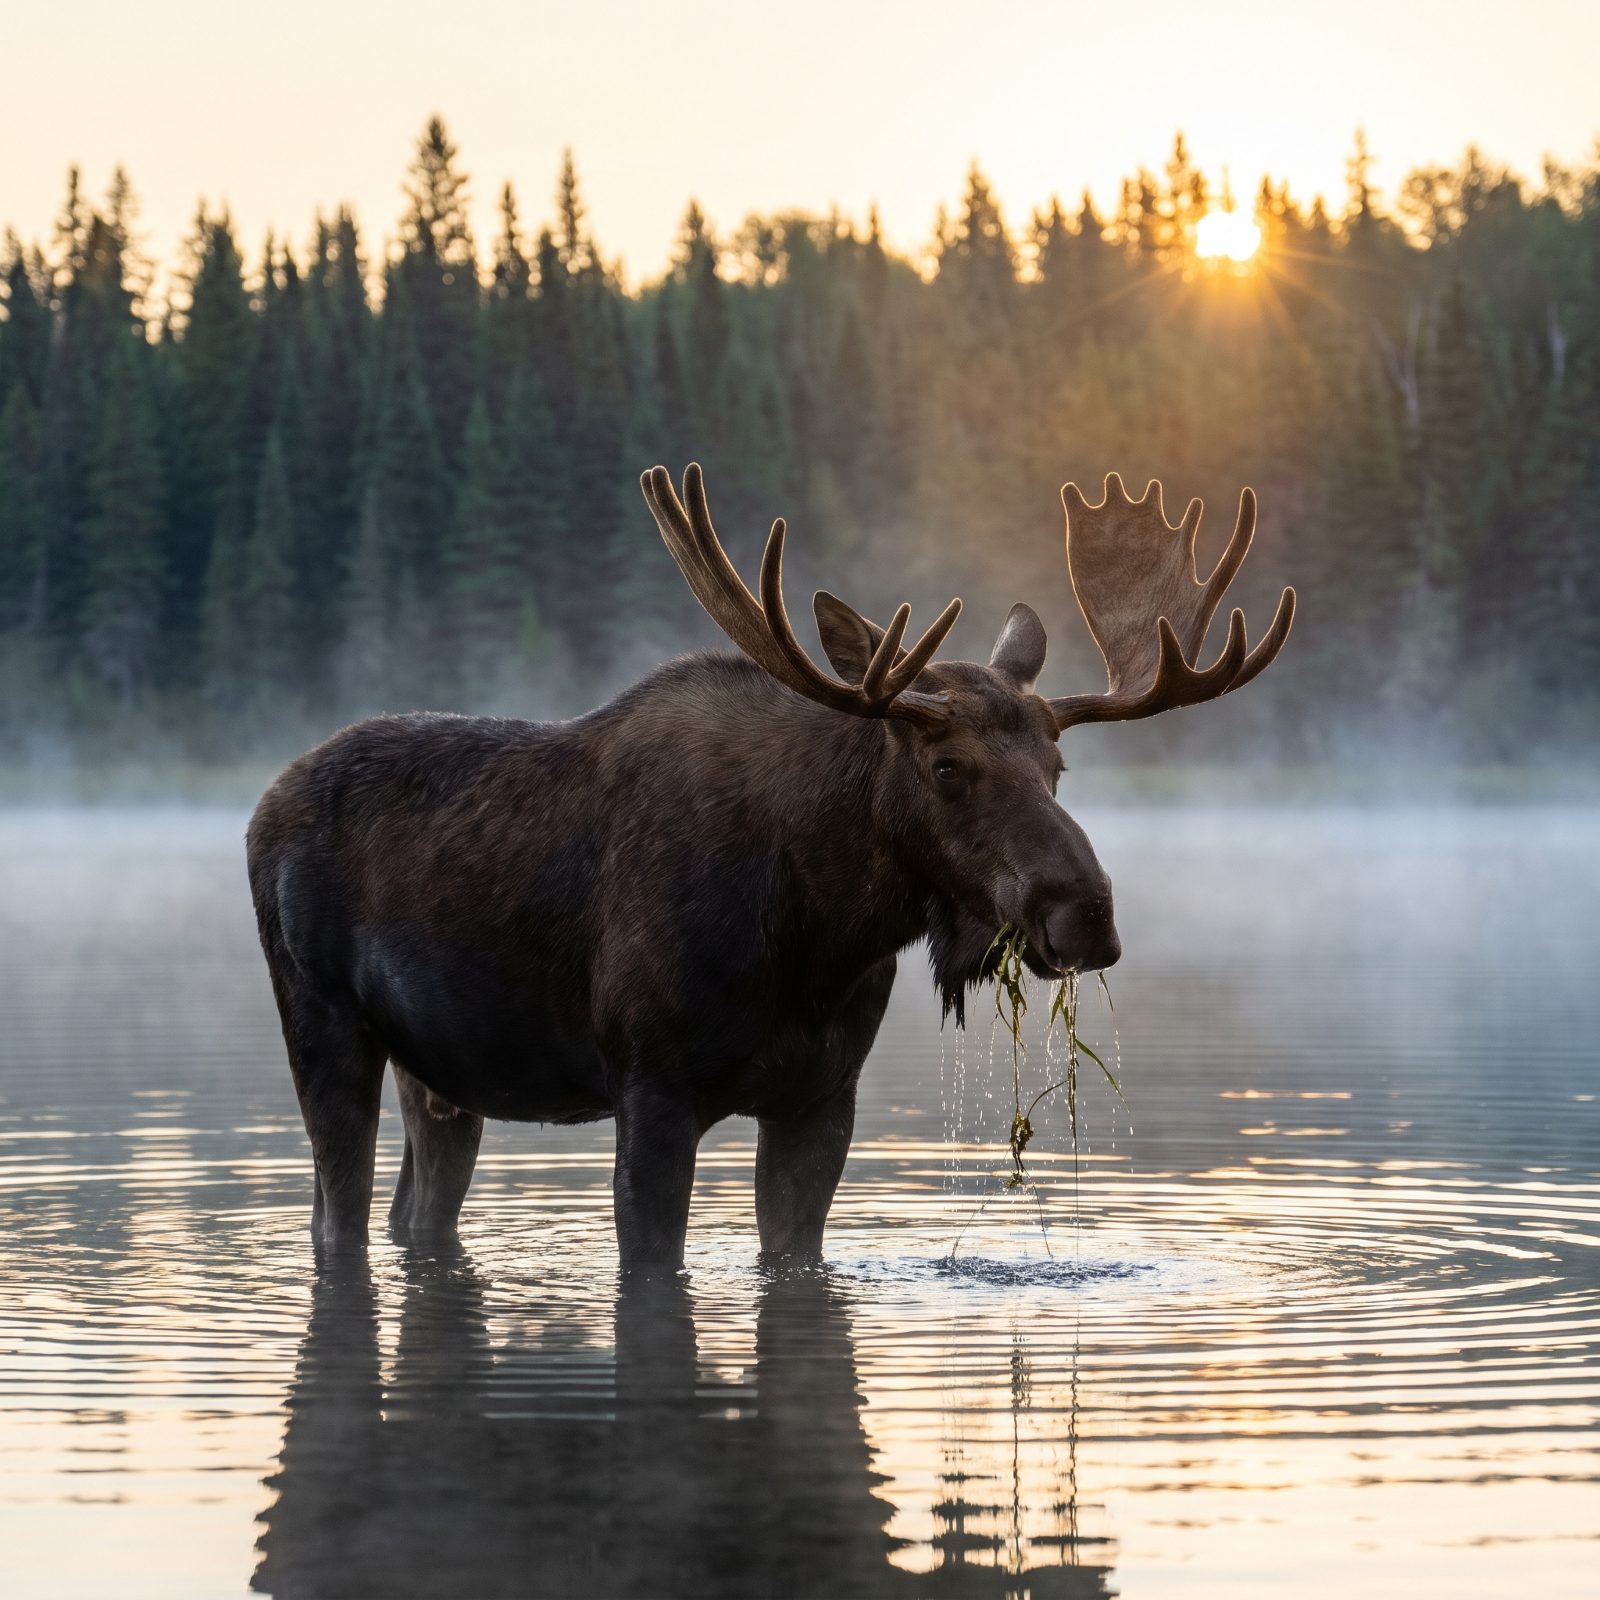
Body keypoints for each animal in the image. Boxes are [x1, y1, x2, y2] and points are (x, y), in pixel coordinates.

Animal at [246, 465, 1294, 1267]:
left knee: (412, 1211)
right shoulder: (653, 1090)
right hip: (323, 1023)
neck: (818, 933)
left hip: (440, 1073)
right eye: (947, 768)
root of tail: (261, 806)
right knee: (335, 1217)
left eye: (1057, 766)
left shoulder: (822, 1099)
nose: (1084, 912)